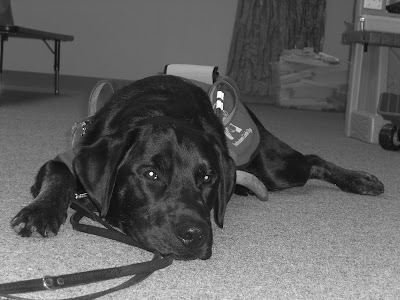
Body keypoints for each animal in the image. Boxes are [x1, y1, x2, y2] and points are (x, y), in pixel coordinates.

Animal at [10, 74, 382, 260]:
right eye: (151, 174)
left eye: (207, 177)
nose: (195, 235)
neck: (157, 109)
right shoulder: (72, 155)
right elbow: (59, 175)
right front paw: (41, 211)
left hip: (274, 167)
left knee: (312, 160)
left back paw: (361, 179)